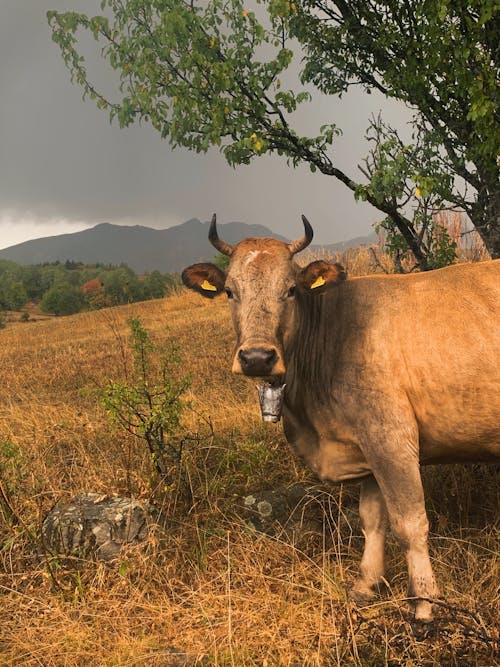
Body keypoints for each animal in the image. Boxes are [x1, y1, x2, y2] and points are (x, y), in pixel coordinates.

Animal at [183, 217, 500, 624]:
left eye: (290, 289)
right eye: (229, 292)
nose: (256, 357)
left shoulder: (390, 437)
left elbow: (409, 522)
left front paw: (424, 602)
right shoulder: (363, 444)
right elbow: (372, 519)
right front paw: (365, 585)